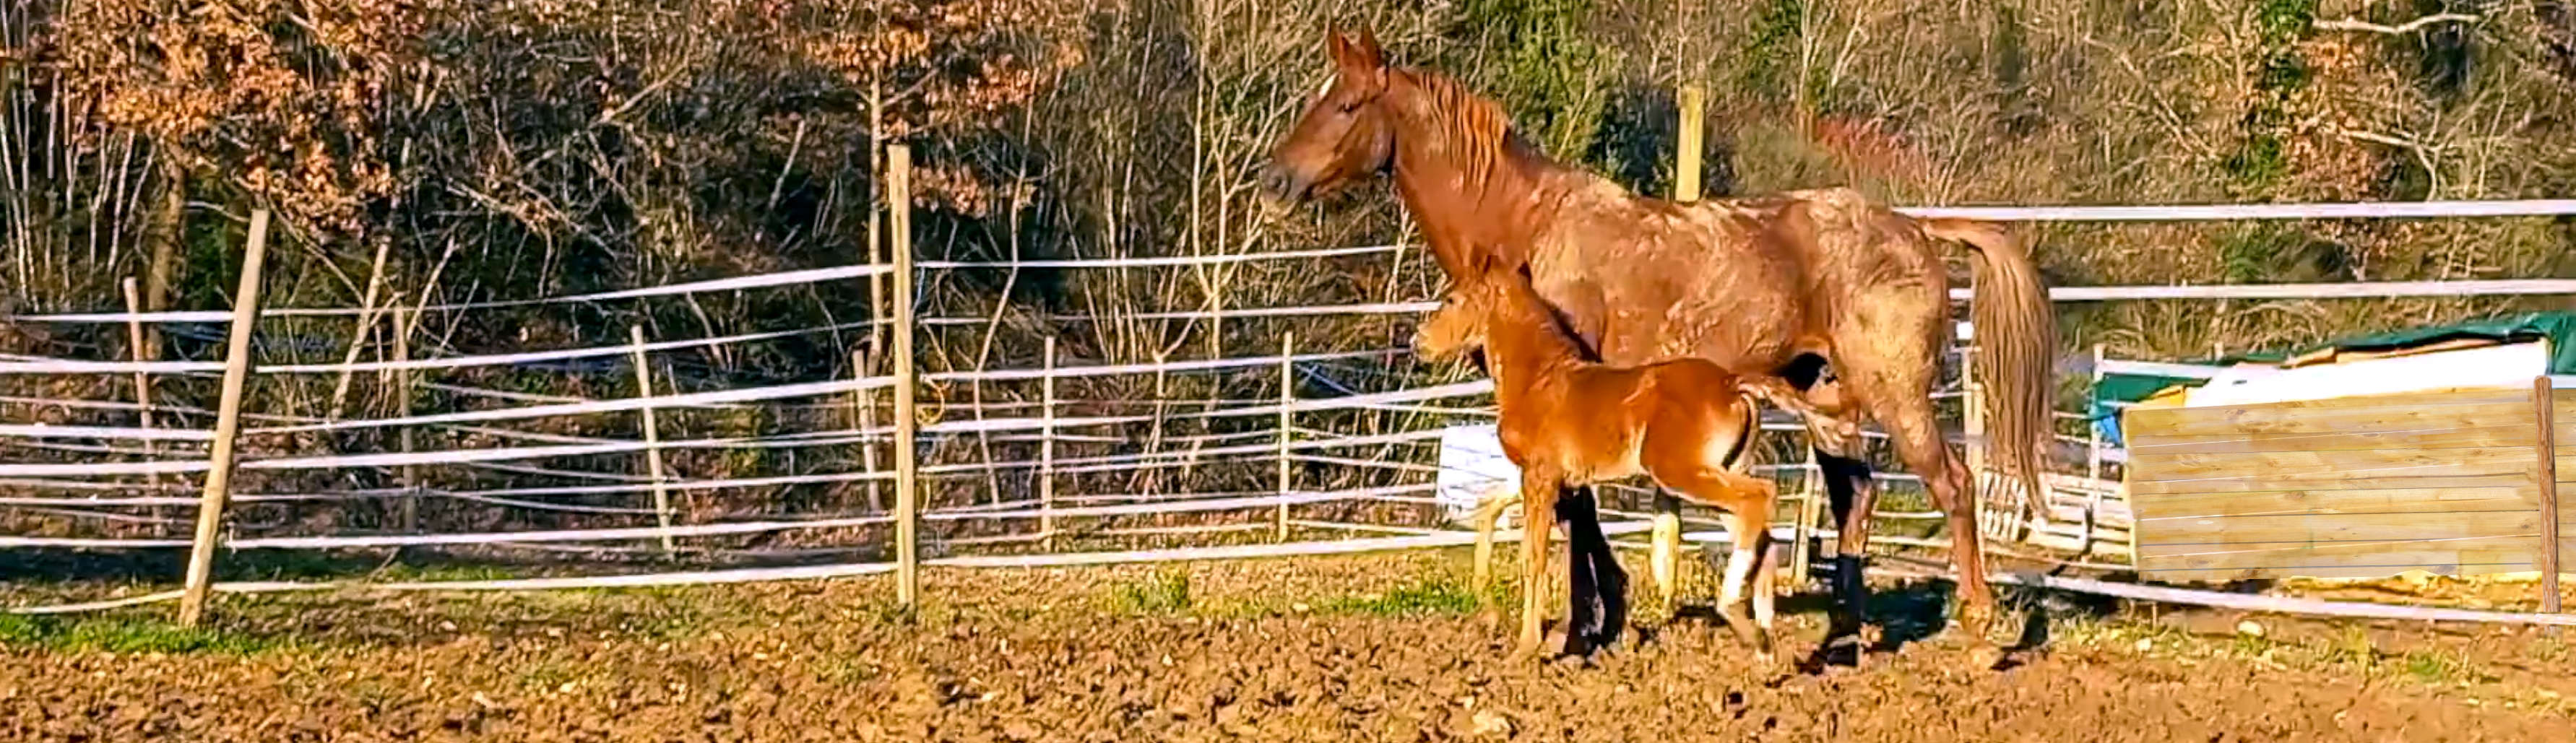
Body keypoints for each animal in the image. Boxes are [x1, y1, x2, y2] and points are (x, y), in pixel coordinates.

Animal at [1417, 255, 1803, 657]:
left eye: (1451, 300)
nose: (1420, 342)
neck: (1538, 380)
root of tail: (1731, 384)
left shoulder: (1541, 478)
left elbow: (1533, 556)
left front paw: (1527, 646)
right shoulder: (1545, 480)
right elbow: (1488, 514)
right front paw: (1491, 610)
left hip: (1680, 472)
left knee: (1759, 497)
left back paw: (1737, 614)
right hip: (1718, 471)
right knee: (1759, 529)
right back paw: (1761, 637)